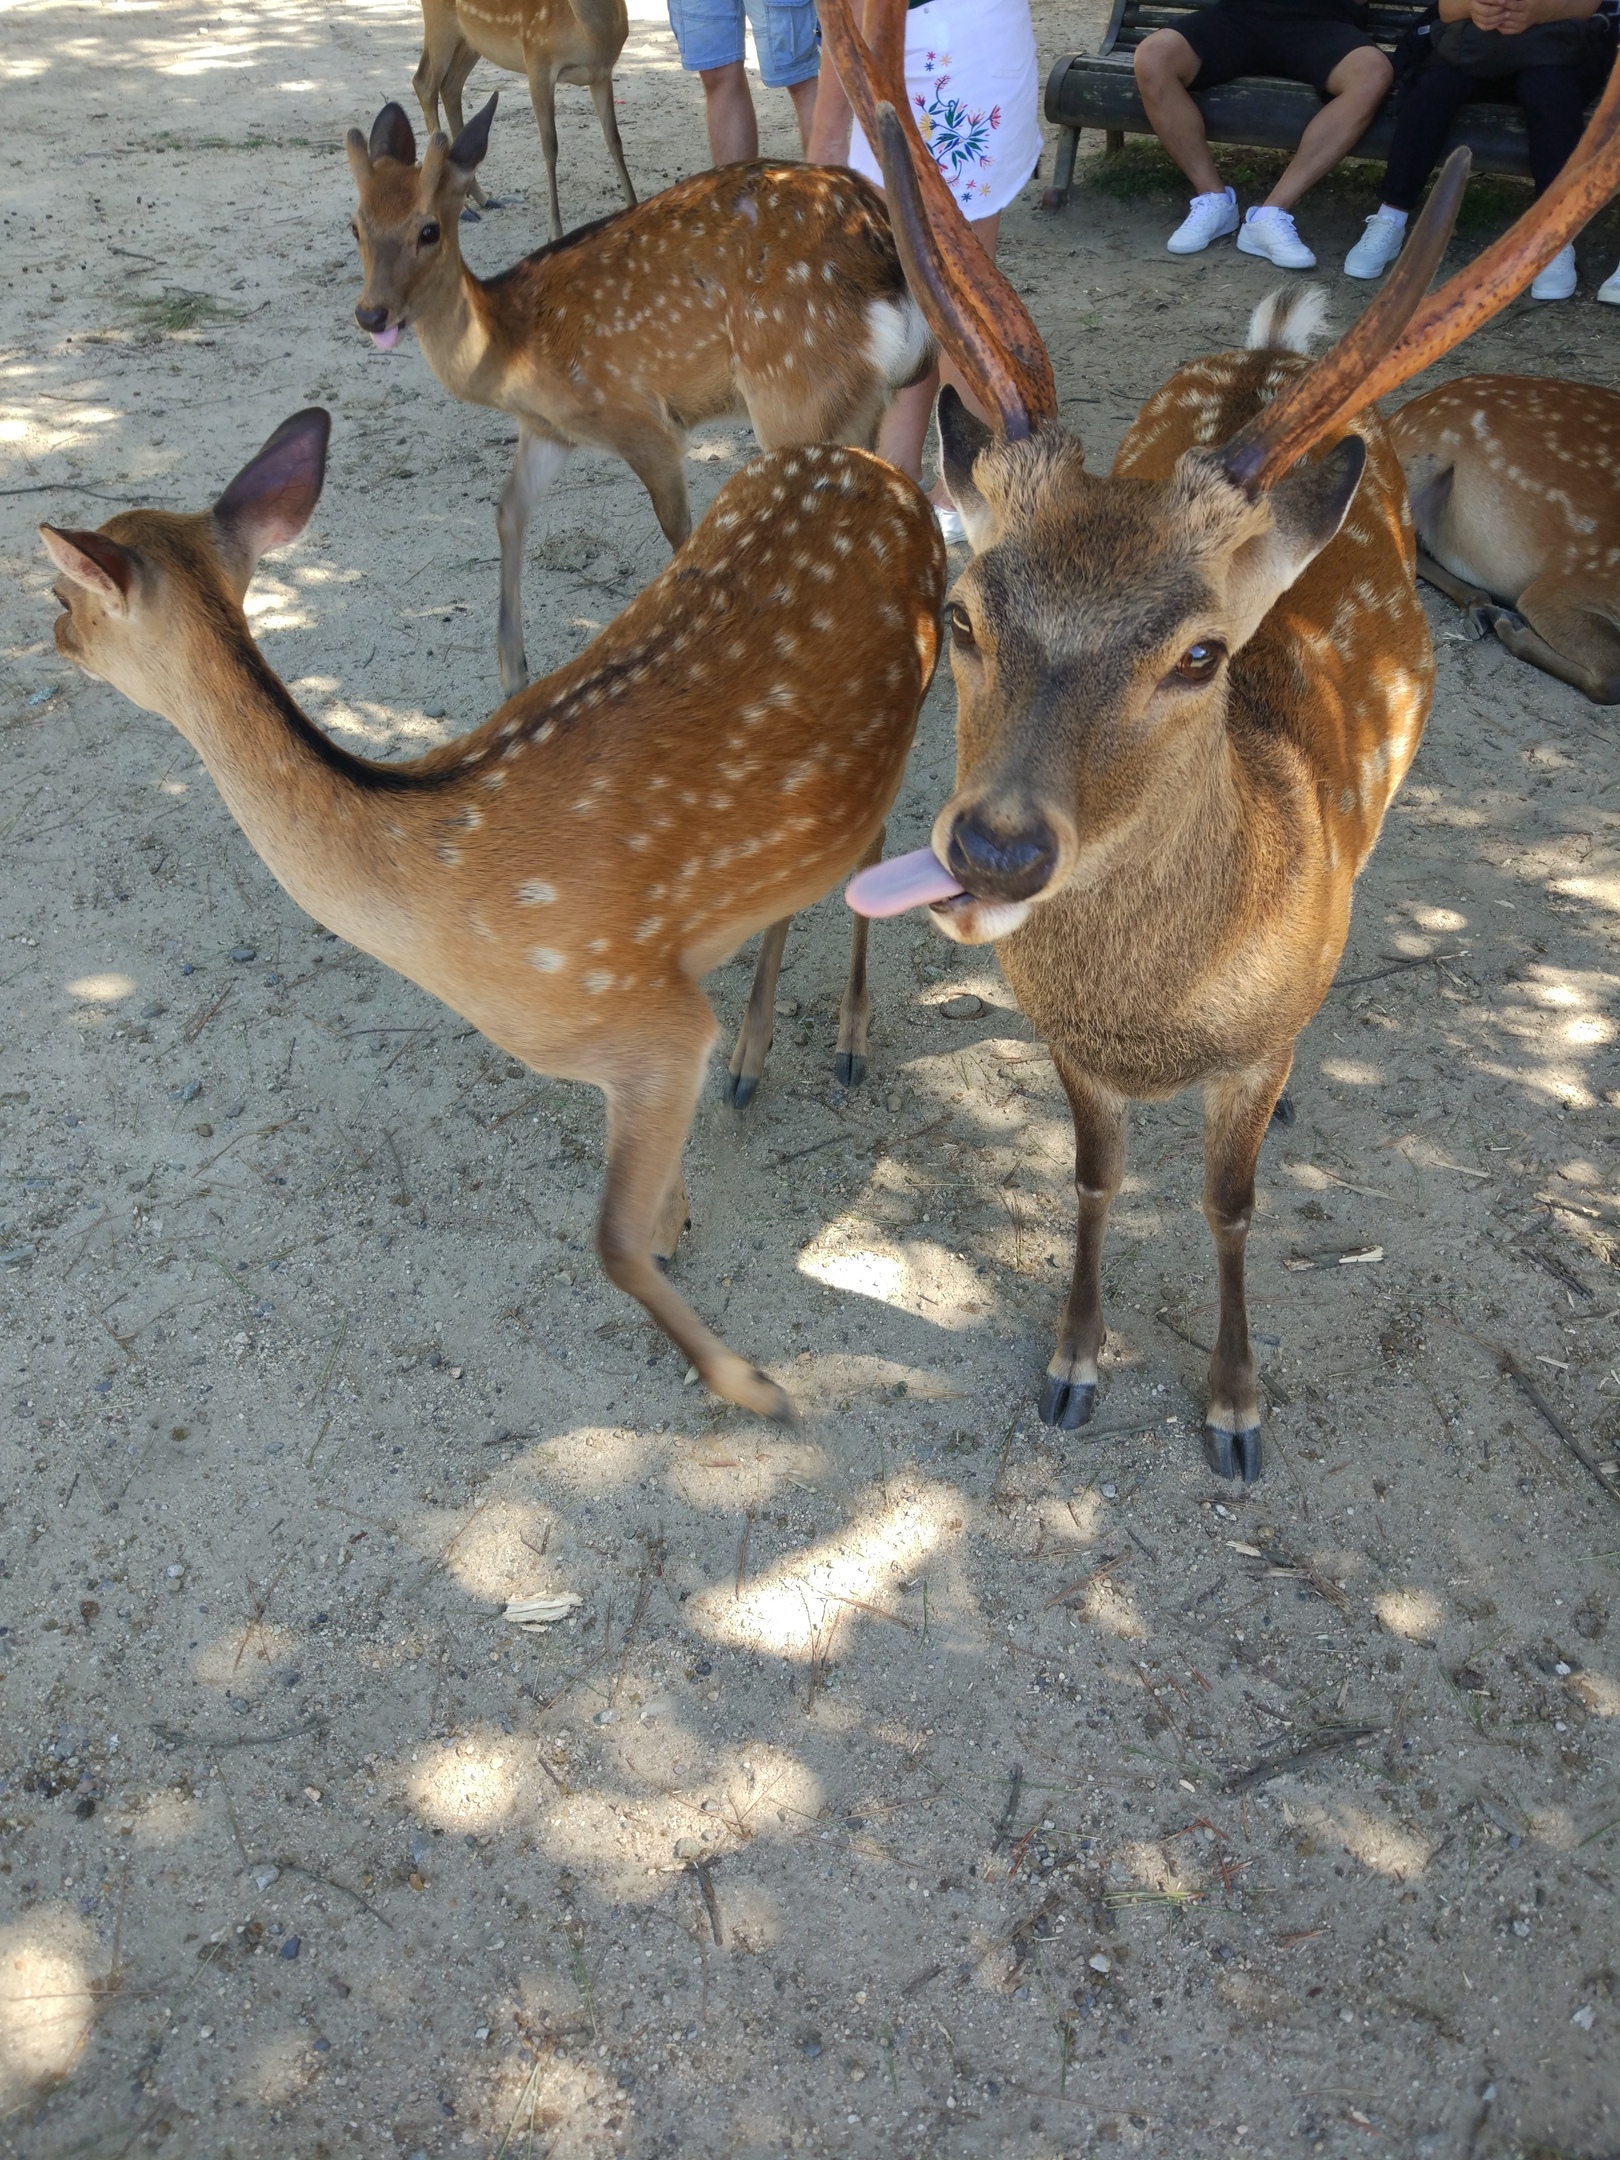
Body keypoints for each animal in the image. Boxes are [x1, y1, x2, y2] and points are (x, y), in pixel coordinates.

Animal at [41, 412, 950, 1425]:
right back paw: (752, 1059)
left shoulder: (646, 1016)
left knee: (878, 853)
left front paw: (756, 1387)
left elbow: (609, 1245)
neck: (436, 906)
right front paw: (676, 1217)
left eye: (62, 589)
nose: (51, 629)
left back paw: (848, 1041)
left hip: (913, 705)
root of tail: (881, 469)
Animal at [412, 0, 635, 243]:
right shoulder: (537, 62)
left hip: (470, 39)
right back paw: (462, 209)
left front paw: (633, 206)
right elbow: (550, 146)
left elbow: (614, 139)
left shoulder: (601, 74)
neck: (591, 38)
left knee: (450, 85)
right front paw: (555, 232)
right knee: (424, 83)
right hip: (440, 24)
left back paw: (483, 198)